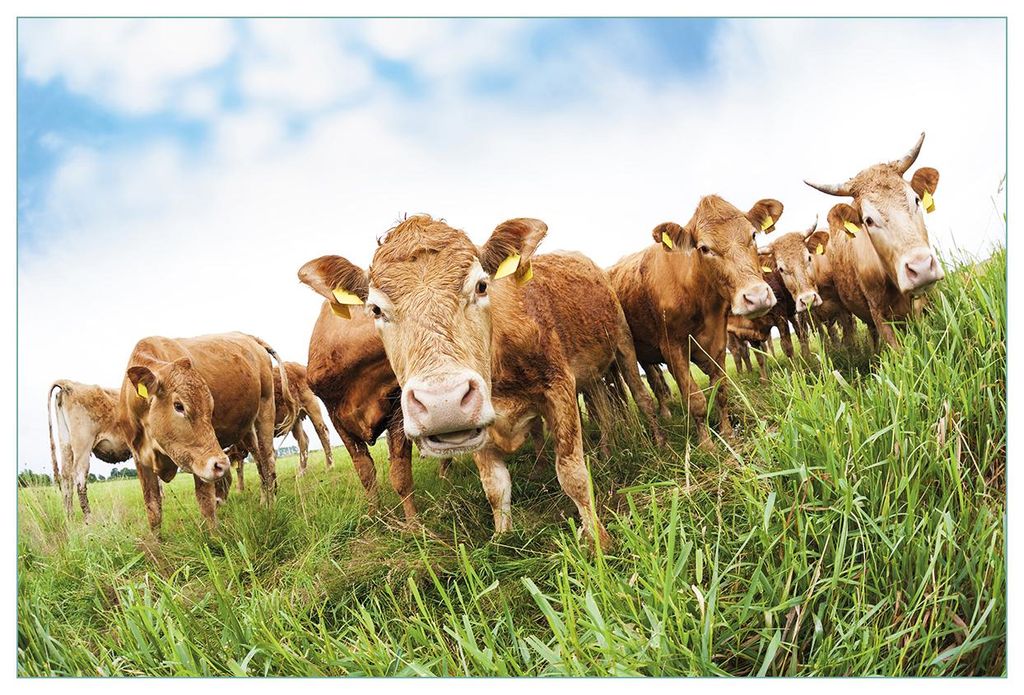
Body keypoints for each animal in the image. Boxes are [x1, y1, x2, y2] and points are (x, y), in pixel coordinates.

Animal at [47, 380, 132, 521]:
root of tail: (68, 383)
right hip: (83, 445)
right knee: (79, 477)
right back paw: (89, 519)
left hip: (65, 443)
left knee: (66, 477)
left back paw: (69, 518)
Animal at [118, 332, 294, 530]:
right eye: (179, 406)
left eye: (210, 408)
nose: (222, 464)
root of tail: (249, 337)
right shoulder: (140, 459)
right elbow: (153, 509)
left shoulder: (200, 460)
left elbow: (206, 504)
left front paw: (215, 537)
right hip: (247, 430)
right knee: (259, 460)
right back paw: (264, 502)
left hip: (265, 408)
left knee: (268, 459)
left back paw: (271, 506)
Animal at [226, 361, 334, 492]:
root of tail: (296, 365)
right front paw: (240, 489)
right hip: (295, 418)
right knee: (303, 441)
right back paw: (301, 472)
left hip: (311, 404)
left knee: (322, 431)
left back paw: (329, 465)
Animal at [299, 215, 663, 549]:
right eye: (375, 309)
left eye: (481, 286)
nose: (443, 402)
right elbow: (495, 486)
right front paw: (503, 540)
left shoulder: (559, 387)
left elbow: (572, 473)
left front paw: (598, 540)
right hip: (592, 376)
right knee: (604, 410)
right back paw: (608, 449)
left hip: (622, 344)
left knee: (641, 396)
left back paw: (655, 444)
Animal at [608, 195, 782, 448]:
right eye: (704, 248)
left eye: (753, 235)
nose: (757, 296)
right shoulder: (673, 349)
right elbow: (695, 399)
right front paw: (707, 445)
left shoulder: (718, 344)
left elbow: (721, 391)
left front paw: (727, 433)